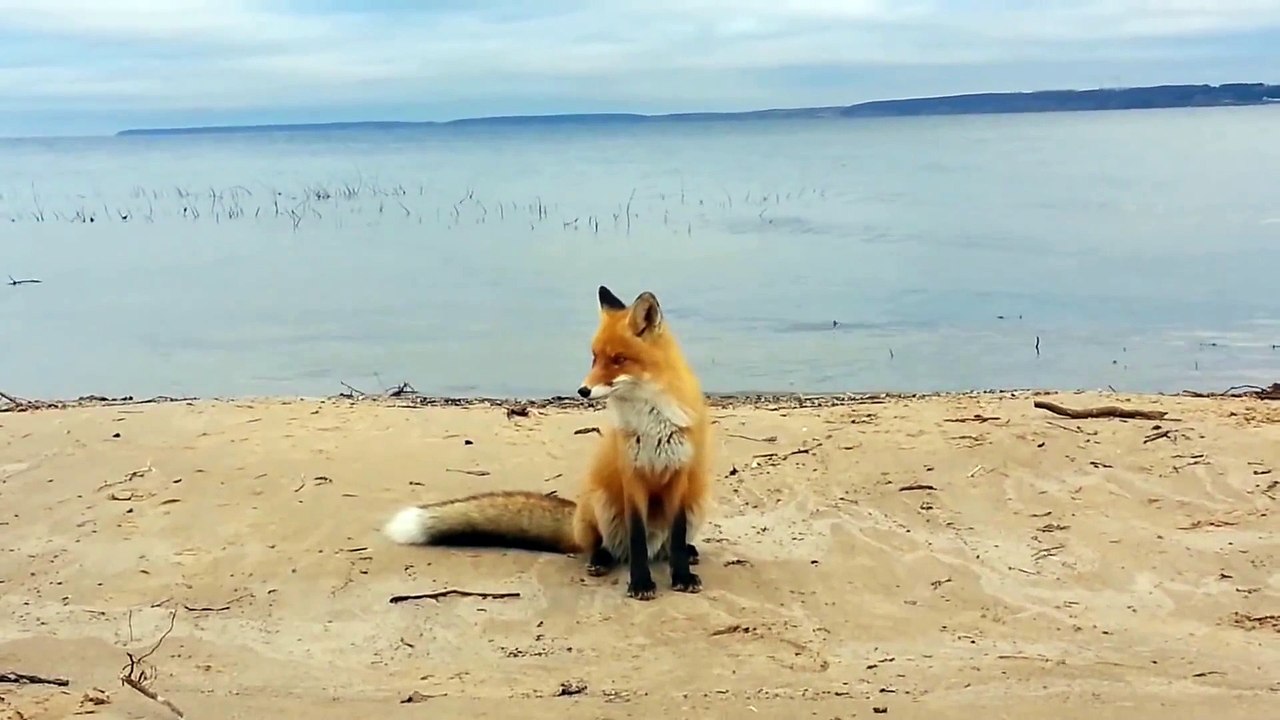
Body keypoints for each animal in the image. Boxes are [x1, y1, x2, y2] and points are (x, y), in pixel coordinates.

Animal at [382, 285, 712, 600]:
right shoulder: (631, 476)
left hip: (697, 501)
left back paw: (687, 553)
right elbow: (637, 540)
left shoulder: (680, 475)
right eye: (594, 357)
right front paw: (641, 583)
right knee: (607, 547)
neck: (651, 419)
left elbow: (677, 538)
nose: (582, 391)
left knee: (666, 546)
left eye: (619, 360)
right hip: (602, 502)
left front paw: (682, 577)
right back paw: (601, 559)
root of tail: (576, 518)